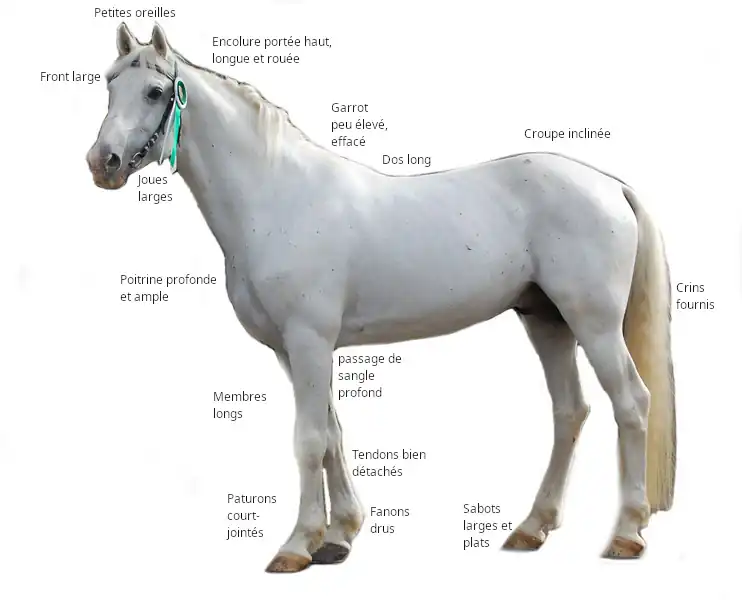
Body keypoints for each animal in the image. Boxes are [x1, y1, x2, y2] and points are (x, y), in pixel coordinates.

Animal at [87, 23, 677, 573]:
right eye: (110, 83)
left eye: (155, 92)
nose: (102, 162)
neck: (275, 196)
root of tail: (610, 185)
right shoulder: (294, 349)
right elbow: (332, 435)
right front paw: (338, 537)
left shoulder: (309, 340)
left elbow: (309, 439)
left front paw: (297, 546)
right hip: (545, 319)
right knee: (569, 411)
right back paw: (531, 528)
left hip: (594, 323)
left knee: (632, 403)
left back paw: (626, 534)